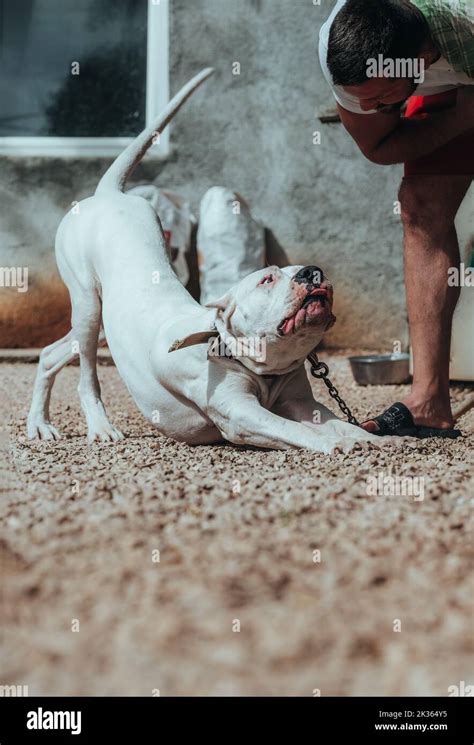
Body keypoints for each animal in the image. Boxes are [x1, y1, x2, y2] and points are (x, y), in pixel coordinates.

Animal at [27, 70, 376, 454]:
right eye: (267, 279)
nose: (311, 272)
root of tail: (110, 194)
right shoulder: (242, 415)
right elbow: (298, 431)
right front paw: (339, 445)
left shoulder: (302, 402)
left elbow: (338, 422)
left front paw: (377, 436)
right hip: (88, 305)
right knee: (87, 374)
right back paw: (100, 426)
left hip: (104, 324)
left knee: (50, 353)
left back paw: (39, 424)